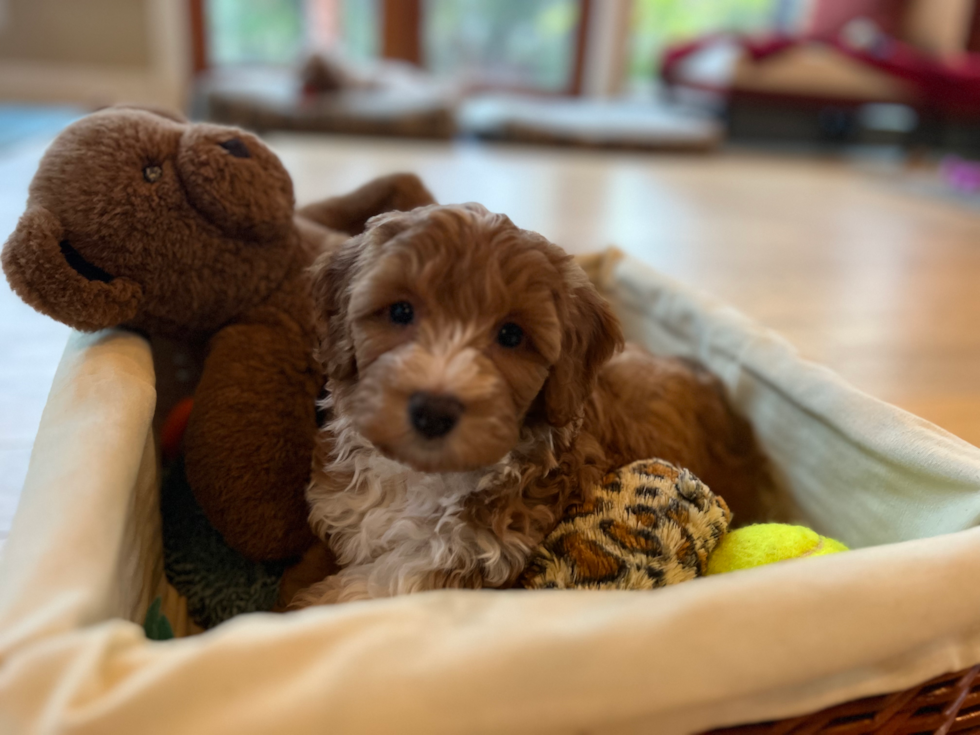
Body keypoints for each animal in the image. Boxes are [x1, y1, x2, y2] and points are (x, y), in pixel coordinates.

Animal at [294, 204, 768, 608]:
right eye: (400, 311)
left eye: (511, 335)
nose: (433, 412)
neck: (426, 476)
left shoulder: (474, 553)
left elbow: (385, 580)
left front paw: (312, 603)